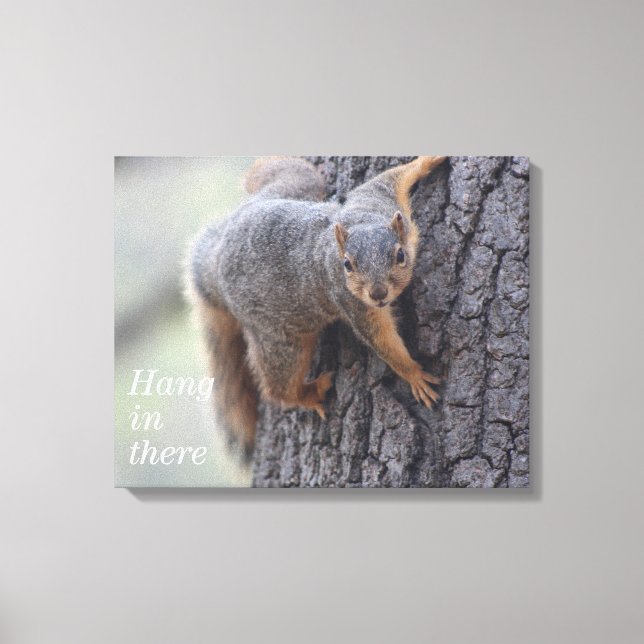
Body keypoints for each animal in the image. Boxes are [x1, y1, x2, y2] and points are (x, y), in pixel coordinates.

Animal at [189, 156, 446, 455]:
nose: (378, 293)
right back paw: (308, 394)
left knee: (286, 175)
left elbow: (390, 177)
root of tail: (217, 262)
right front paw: (414, 374)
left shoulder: (377, 199)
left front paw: (425, 161)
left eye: (400, 255)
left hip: (297, 186)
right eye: (347, 265)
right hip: (280, 339)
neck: (363, 221)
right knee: (279, 386)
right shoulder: (352, 302)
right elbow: (381, 340)